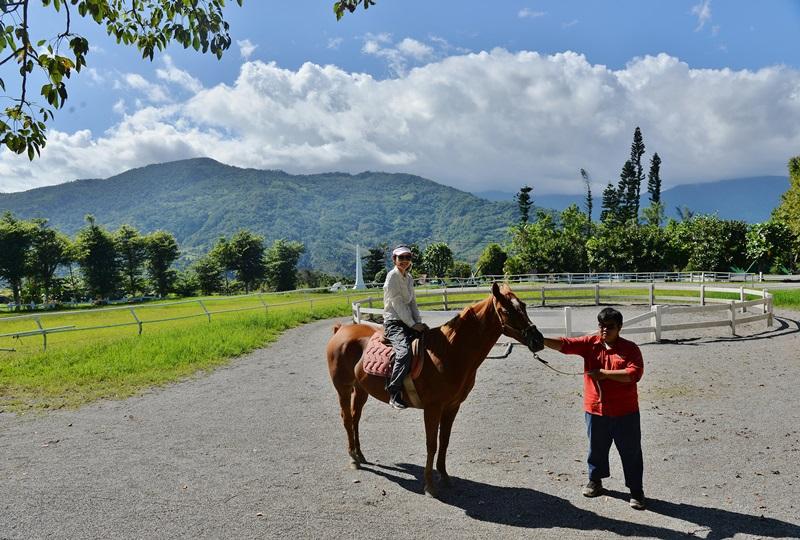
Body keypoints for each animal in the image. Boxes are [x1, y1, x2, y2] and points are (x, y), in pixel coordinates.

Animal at [324, 282, 544, 498]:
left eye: (523, 306)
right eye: (506, 311)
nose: (538, 340)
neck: (448, 352)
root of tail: (341, 330)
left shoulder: (452, 407)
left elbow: (444, 441)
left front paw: (444, 477)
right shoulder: (432, 409)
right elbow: (432, 445)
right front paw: (429, 486)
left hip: (361, 389)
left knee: (355, 417)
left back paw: (359, 454)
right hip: (343, 388)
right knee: (347, 418)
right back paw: (353, 459)